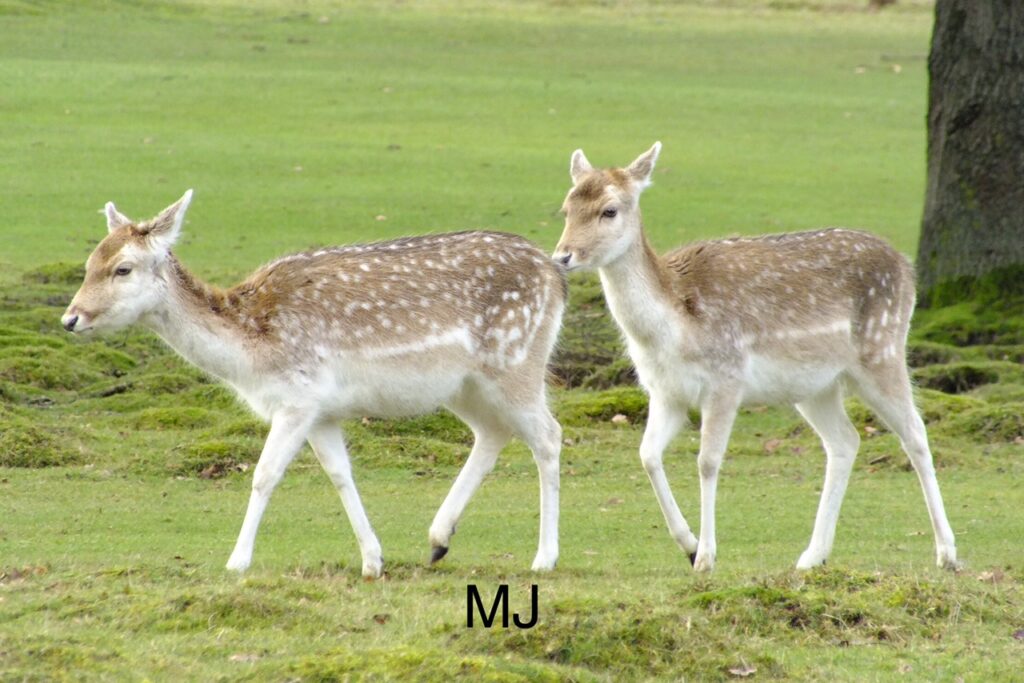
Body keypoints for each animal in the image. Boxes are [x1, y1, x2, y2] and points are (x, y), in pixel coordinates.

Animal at [61, 190, 566, 578]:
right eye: (89, 262)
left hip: (517, 362)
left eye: (123, 268)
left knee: (548, 435)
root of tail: (556, 276)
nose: (71, 318)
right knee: (493, 432)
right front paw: (373, 561)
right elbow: (341, 474)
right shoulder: (323, 411)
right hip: (467, 386)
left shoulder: (297, 399)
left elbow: (264, 475)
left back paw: (544, 557)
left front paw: (237, 562)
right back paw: (439, 540)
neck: (252, 351)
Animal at [552, 142, 958, 573]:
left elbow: (707, 461)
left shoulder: (726, 378)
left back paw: (947, 553)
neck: (671, 329)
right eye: (566, 207)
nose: (563, 256)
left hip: (883, 349)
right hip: (816, 386)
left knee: (915, 433)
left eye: (609, 210)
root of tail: (907, 268)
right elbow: (647, 455)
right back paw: (812, 555)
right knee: (845, 441)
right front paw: (689, 545)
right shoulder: (665, 392)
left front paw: (706, 557)